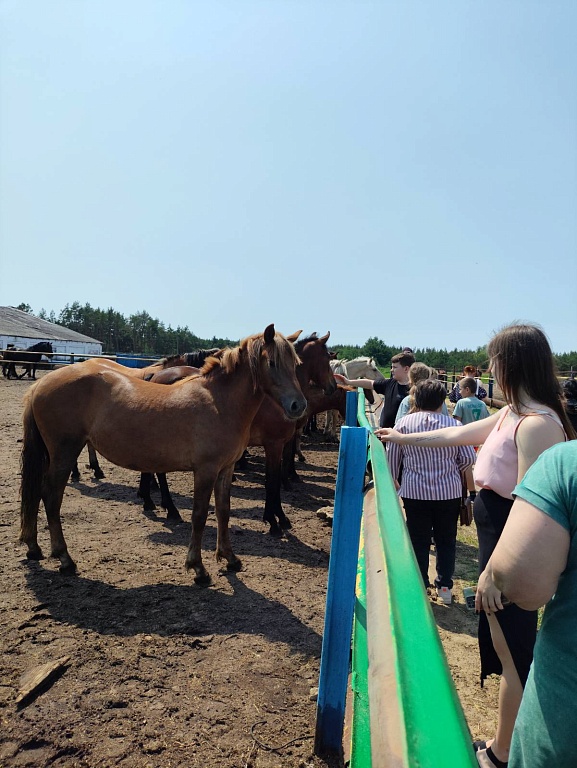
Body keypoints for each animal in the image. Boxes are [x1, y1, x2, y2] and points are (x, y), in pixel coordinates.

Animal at [19, 324, 306, 584]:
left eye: (295, 364)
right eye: (272, 362)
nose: (298, 405)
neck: (220, 402)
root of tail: (40, 385)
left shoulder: (226, 469)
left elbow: (223, 511)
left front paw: (230, 558)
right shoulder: (206, 471)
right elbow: (199, 515)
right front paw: (198, 567)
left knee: (39, 494)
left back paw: (34, 548)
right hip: (64, 452)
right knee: (51, 496)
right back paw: (65, 558)